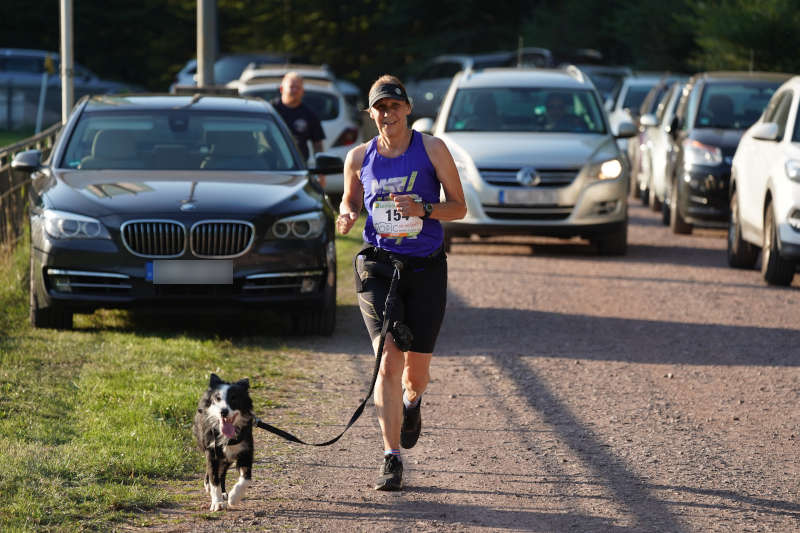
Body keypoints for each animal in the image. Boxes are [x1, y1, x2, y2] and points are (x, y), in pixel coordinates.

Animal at [192, 372, 255, 510]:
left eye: (234, 398)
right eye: (217, 398)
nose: (223, 411)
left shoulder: (246, 450)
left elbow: (246, 478)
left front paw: (234, 498)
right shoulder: (212, 451)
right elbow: (214, 478)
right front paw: (217, 502)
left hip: (227, 457)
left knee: (223, 472)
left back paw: (225, 493)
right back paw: (210, 487)